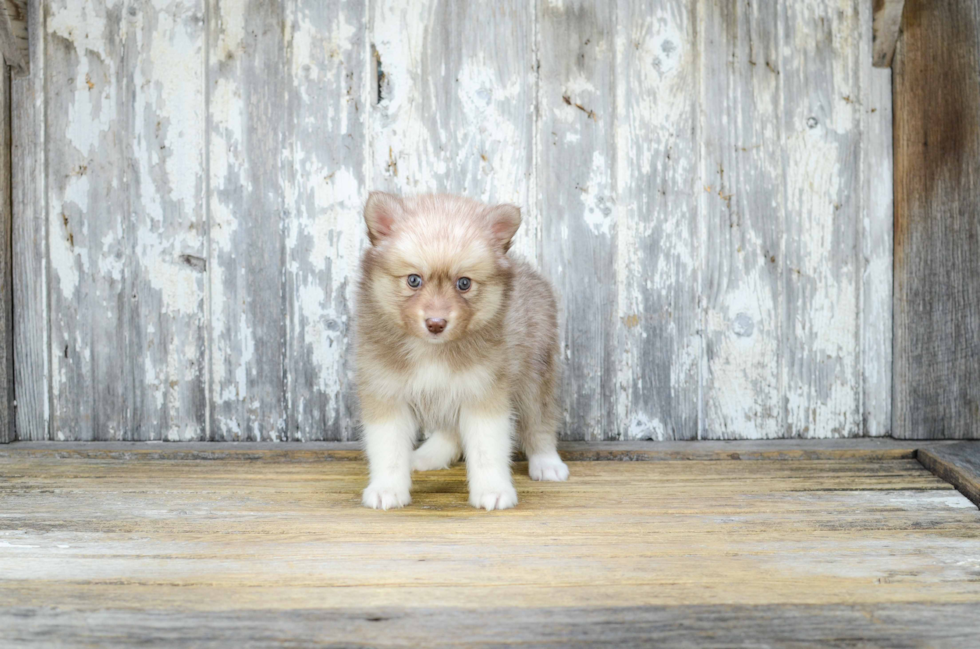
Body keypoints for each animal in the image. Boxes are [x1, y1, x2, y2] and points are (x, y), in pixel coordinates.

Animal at [354, 192, 568, 512]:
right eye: (413, 280)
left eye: (464, 283)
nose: (436, 323)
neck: (432, 351)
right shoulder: (387, 393)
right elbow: (388, 449)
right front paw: (387, 489)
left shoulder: (483, 391)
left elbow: (487, 448)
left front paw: (493, 489)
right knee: (450, 430)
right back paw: (428, 455)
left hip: (535, 373)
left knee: (540, 422)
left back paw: (547, 463)